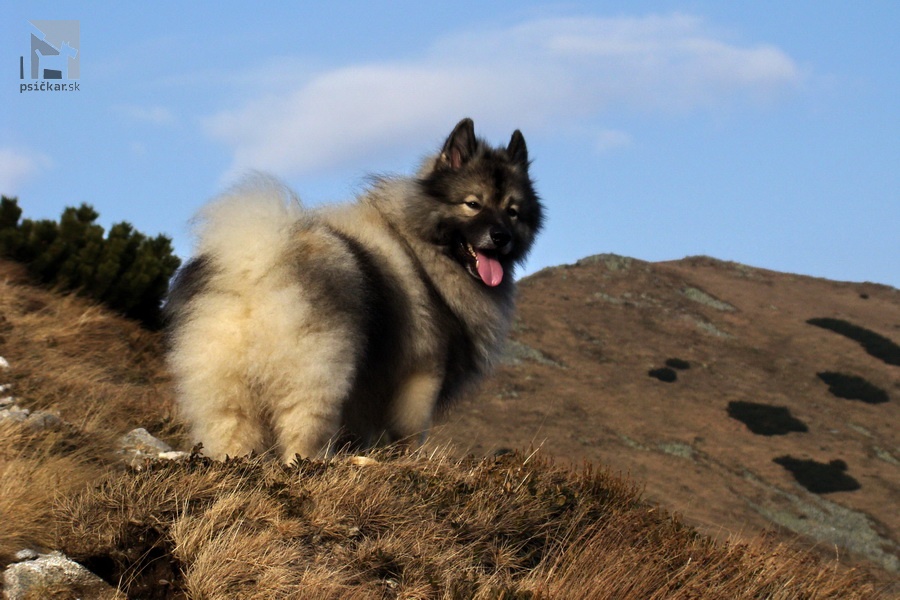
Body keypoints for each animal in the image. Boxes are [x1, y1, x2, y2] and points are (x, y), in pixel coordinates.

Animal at [164, 119, 540, 462]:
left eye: (512, 212)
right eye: (472, 204)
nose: (501, 237)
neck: (419, 244)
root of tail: (254, 263)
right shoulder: (421, 376)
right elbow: (409, 434)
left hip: (226, 393)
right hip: (318, 379)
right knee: (302, 434)